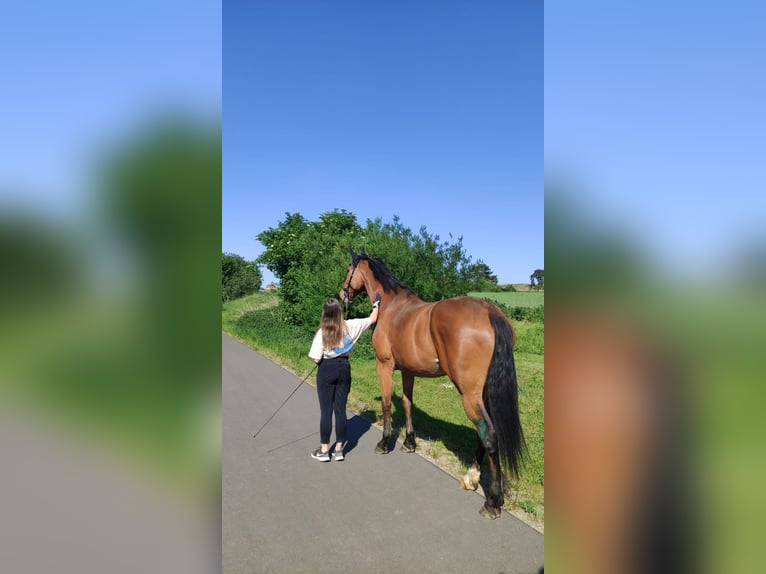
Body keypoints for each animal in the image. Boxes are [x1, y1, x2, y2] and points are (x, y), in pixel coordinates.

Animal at [340, 250, 524, 520]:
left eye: (348, 269)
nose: (342, 294)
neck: (391, 306)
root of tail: (490, 311)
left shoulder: (384, 365)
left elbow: (386, 403)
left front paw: (384, 443)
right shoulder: (408, 371)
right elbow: (407, 403)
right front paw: (409, 443)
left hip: (468, 394)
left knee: (489, 435)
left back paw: (492, 502)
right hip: (482, 394)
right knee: (483, 434)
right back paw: (471, 478)